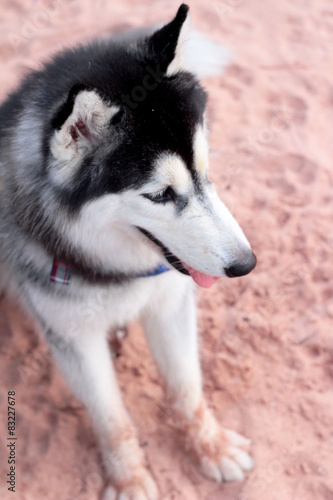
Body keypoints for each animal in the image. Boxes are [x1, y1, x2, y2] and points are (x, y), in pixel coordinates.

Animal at [0, 4, 256, 500]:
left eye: (206, 172)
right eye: (160, 195)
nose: (245, 264)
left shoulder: (170, 304)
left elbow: (186, 388)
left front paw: (211, 447)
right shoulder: (74, 338)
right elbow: (112, 419)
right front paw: (130, 480)